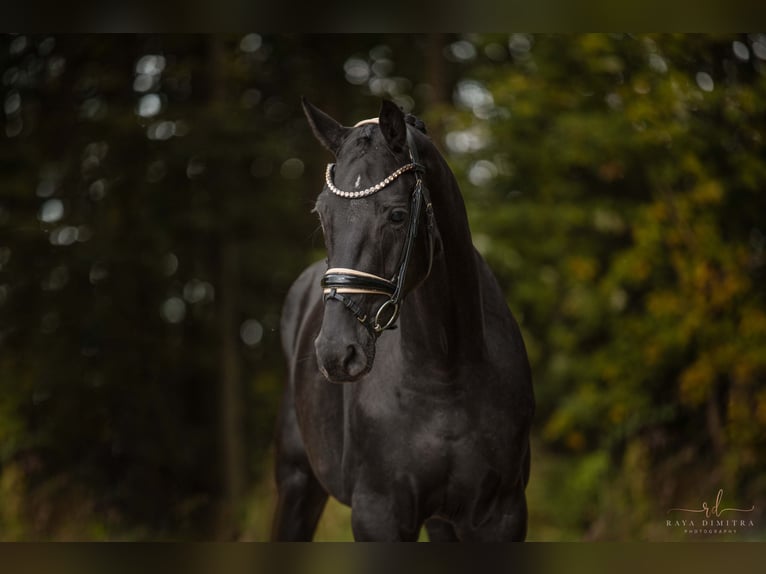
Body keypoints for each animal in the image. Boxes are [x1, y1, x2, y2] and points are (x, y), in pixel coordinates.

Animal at [272, 99, 536, 544]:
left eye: (396, 215)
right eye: (322, 214)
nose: (336, 353)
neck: (444, 375)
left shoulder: (501, 514)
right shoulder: (379, 514)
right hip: (297, 481)